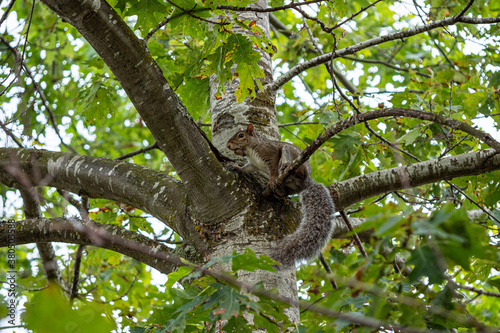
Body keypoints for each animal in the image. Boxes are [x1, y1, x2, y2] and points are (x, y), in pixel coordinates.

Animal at [227, 124, 336, 268]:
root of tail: (307, 182)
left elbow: (273, 170)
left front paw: (271, 181)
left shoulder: (270, 154)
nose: (228, 145)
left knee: (291, 166)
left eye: (241, 135)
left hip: (291, 156)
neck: (251, 149)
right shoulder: (253, 164)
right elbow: (246, 168)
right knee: (286, 193)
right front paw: (236, 167)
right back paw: (278, 192)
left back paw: (285, 169)